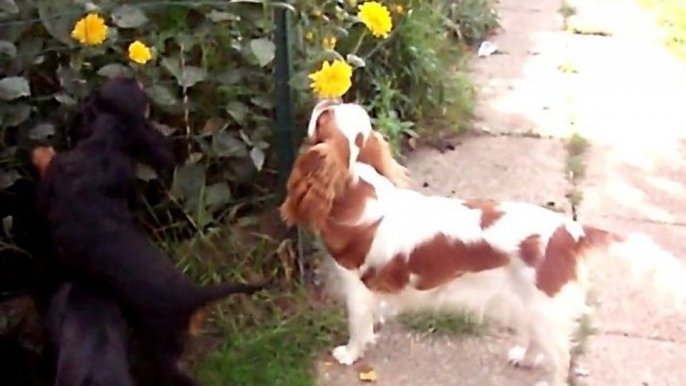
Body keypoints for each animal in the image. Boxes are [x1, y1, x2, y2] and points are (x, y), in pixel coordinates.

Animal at [280, 99, 686, 386]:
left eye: (323, 117)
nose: (325, 97)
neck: (355, 185)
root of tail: (569, 231)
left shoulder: (356, 286)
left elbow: (357, 325)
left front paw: (349, 353)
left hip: (546, 306)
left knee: (562, 359)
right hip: (532, 302)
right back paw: (525, 356)